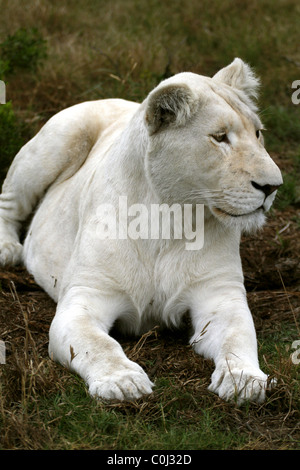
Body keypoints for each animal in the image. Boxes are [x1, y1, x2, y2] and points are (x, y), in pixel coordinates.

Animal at [0, 57, 282, 404]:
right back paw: (7, 250)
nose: (273, 186)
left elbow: (237, 337)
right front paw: (122, 382)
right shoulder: (85, 298)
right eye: (220, 137)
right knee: (9, 201)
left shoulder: (220, 295)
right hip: (57, 140)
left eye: (258, 133)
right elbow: (99, 345)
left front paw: (244, 379)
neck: (168, 216)